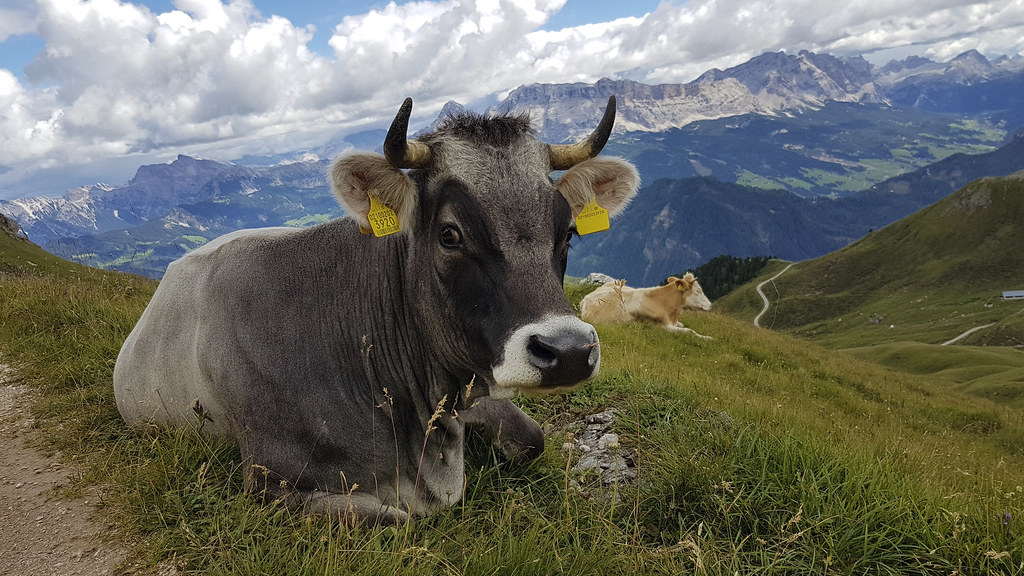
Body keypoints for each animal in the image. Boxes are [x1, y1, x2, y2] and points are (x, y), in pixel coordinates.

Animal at [114, 95, 638, 520]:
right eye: (450, 234)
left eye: (568, 232)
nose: (568, 351)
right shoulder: (270, 480)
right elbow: (396, 519)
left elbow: (533, 437)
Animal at [581, 272, 716, 338]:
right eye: (698, 291)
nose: (710, 305)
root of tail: (586, 298)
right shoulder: (657, 326)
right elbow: (689, 331)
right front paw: (710, 338)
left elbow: (684, 325)